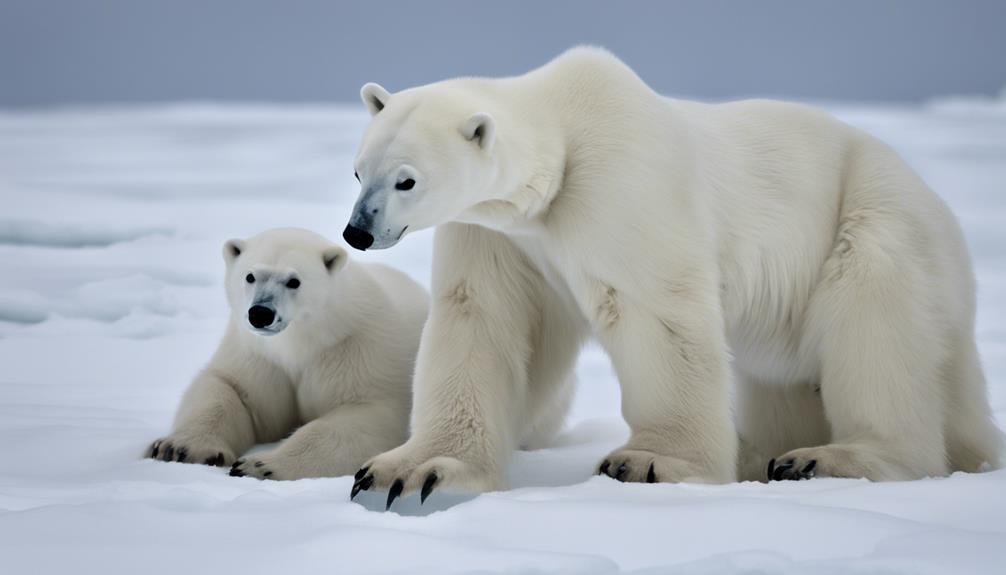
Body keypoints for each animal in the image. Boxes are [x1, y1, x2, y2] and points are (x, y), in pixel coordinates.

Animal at [344, 45, 997, 502]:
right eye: (358, 171)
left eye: (406, 180)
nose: (357, 232)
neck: (564, 135)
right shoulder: (502, 236)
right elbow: (483, 318)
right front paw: (407, 471)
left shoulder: (621, 185)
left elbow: (654, 312)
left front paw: (648, 463)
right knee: (786, 378)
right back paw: (765, 454)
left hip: (874, 218)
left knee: (874, 329)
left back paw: (823, 458)